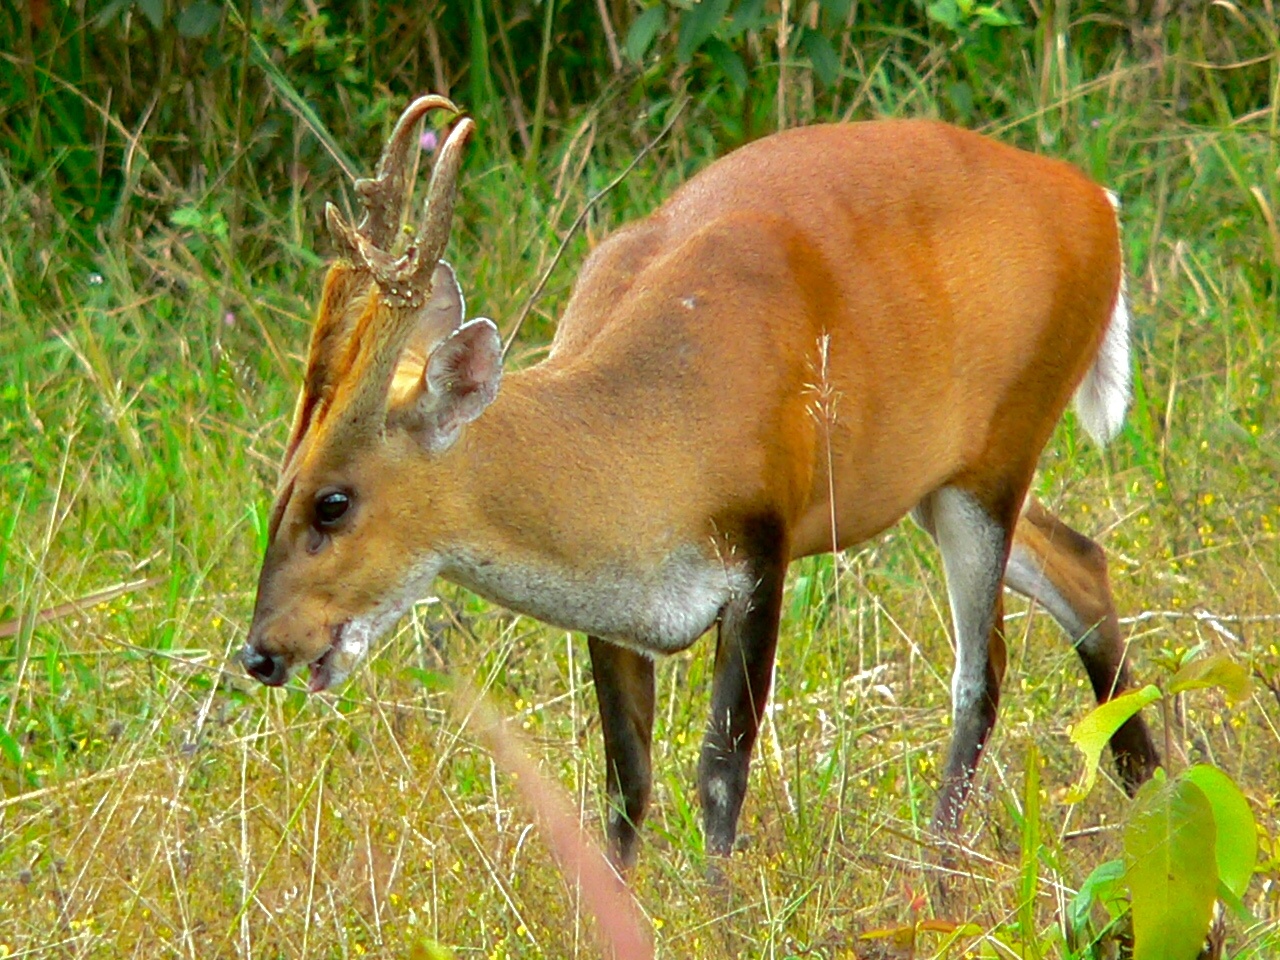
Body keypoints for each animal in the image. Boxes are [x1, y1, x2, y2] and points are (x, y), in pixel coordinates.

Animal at [244, 97, 1167, 870]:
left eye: (333, 501)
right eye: (277, 489)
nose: (261, 652)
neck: (650, 442)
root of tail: (1102, 206)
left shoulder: (761, 550)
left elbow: (720, 776)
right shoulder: (613, 609)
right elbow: (626, 786)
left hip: (1001, 449)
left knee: (982, 673)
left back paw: (941, 869)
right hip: (939, 480)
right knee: (1083, 562)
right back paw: (1152, 790)